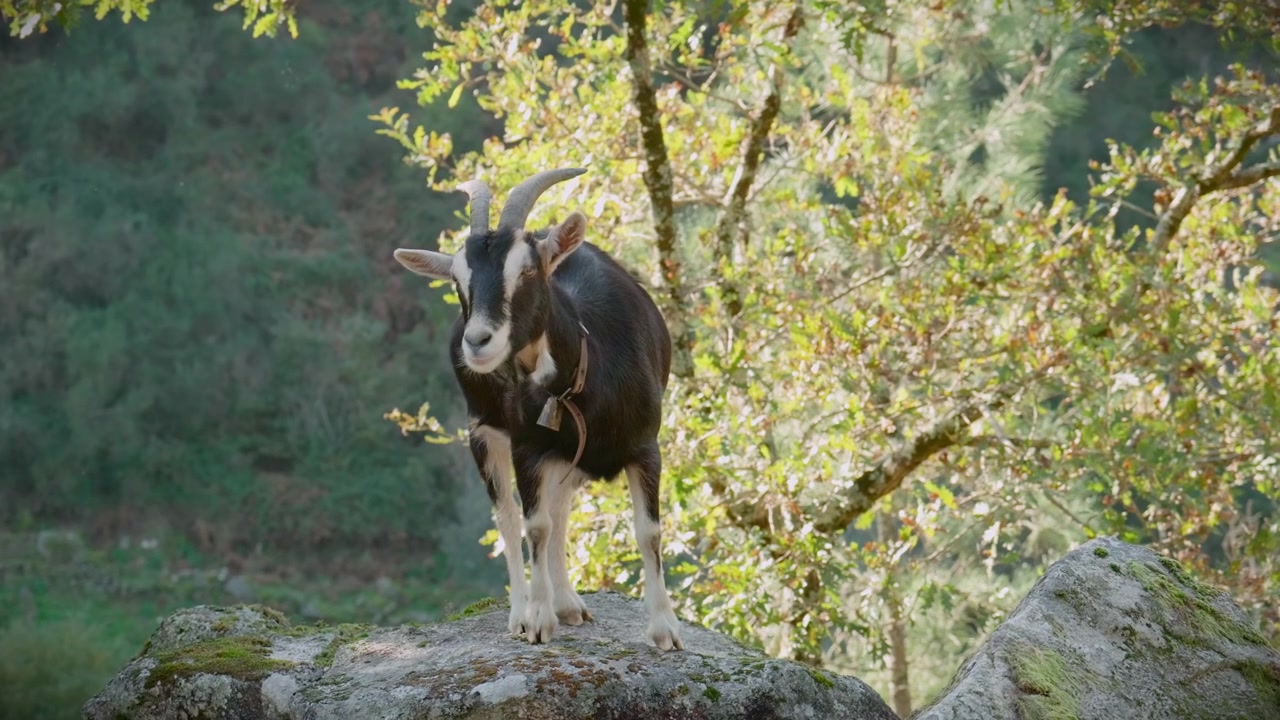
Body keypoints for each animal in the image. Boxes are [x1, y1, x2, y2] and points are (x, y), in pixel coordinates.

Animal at [393, 167, 685, 651]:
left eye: (527, 269)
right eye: (457, 280)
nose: (477, 342)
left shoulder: (646, 447)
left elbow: (648, 531)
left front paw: (666, 629)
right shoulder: (526, 447)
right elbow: (535, 526)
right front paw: (537, 619)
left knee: (560, 509)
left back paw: (568, 603)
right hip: (484, 433)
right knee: (511, 518)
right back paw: (523, 610)